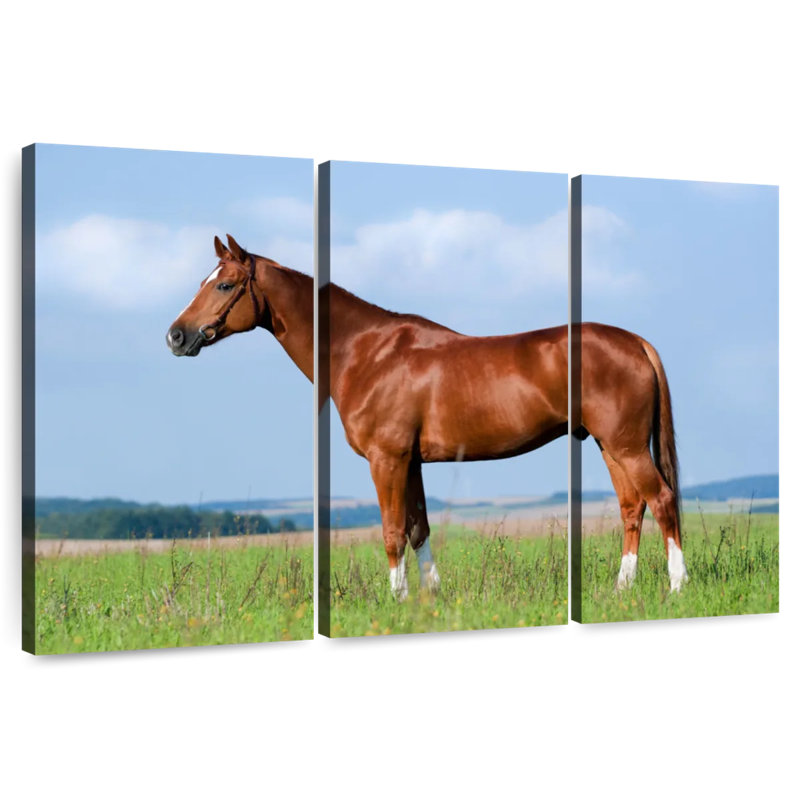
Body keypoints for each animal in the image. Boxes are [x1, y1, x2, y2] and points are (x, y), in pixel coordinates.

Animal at [326, 285, 688, 599]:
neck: (371, 353)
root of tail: (636, 343)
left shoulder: (387, 459)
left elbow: (393, 532)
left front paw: (399, 599)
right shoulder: (411, 462)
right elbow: (418, 530)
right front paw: (431, 597)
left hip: (629, 449)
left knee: (662, 500)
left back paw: (676, 586)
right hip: (613, 448)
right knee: (633, 506)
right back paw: (622, 588)